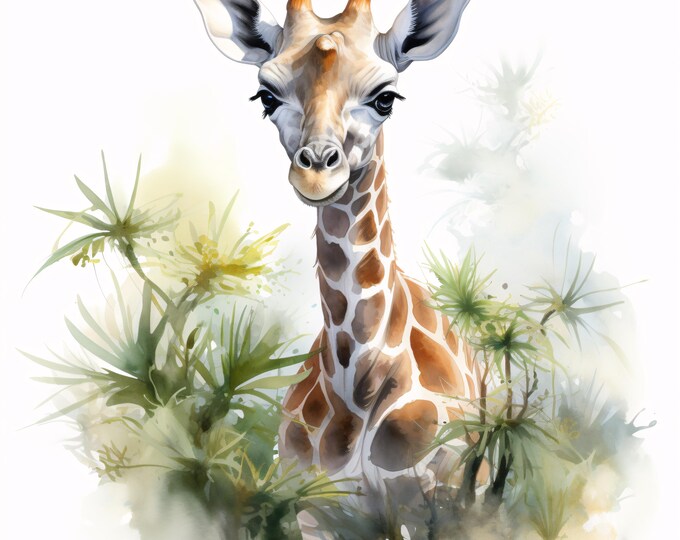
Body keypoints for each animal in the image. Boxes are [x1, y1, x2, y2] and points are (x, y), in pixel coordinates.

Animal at [193, 0, 479, 513]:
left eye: (386, 98)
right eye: (266, 97)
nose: (316, 173)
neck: (355, 384)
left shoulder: (431, 498)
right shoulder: (314, 506)